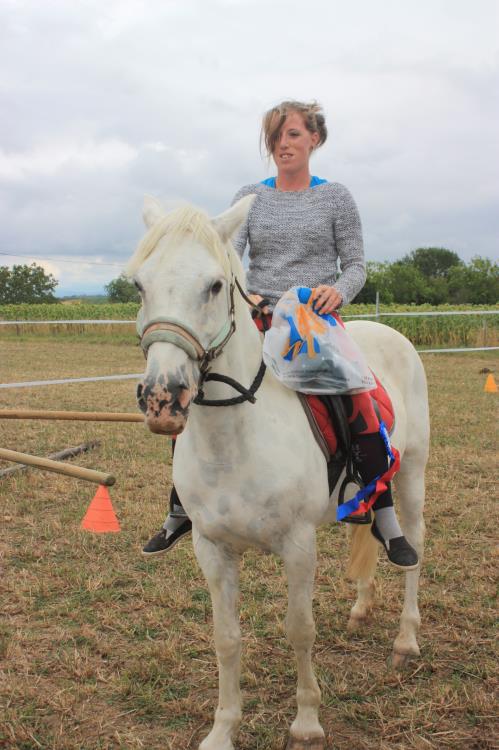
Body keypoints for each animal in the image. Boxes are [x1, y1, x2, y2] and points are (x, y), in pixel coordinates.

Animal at [129, 197, 430, 750]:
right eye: (140, 284)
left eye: (215, 285)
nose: (163, 398)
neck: (236, 439)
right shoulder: (212, 548)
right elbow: (226, 637)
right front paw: (223, 728)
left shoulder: (297, 544)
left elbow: (299, 630)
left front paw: (307, 723)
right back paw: (362, 610)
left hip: (413, 474)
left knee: (412, 547)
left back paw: (405, 640)